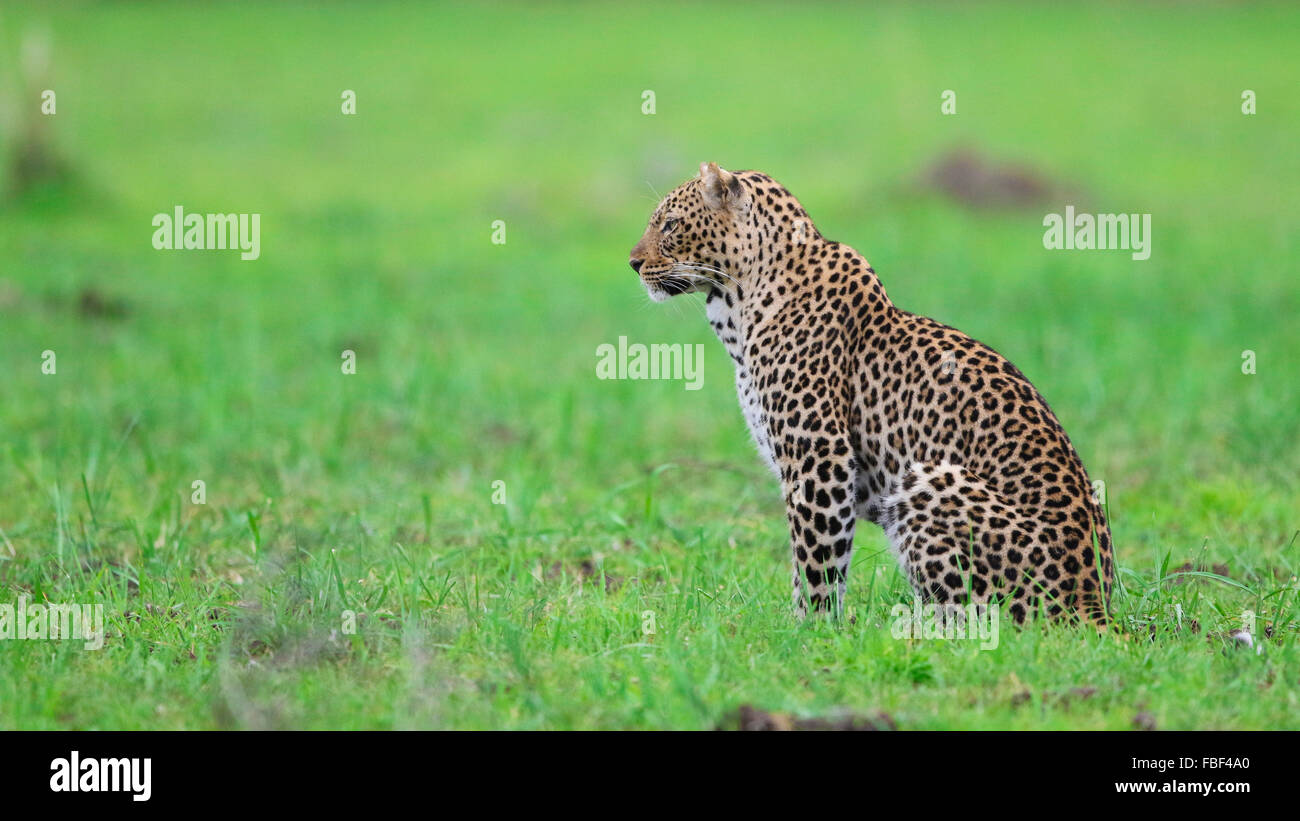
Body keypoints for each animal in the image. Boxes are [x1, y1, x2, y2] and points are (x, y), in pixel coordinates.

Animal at [624, 161, 1112, 620]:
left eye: (669, 224)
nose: (632, 263)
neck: (738, 304)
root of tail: (1097, 607)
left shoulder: (820, 457)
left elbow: (817, 561)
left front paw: (811, 630)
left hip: (929, 479)